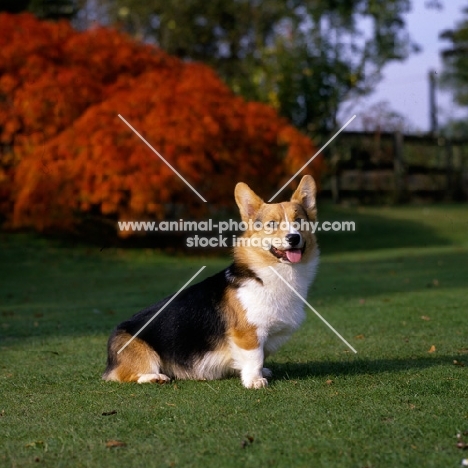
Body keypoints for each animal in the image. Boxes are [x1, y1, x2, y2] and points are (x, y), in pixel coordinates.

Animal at [103, 176, 318, 388]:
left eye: (299, 221)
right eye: (272, 224)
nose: (293, 238)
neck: (274, 274)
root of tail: (109, 362)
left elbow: (261, 356)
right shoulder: (248, 334)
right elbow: (255, 357)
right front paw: (254, 380)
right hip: (140, 354)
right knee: (125, 375)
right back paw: (154, 377)